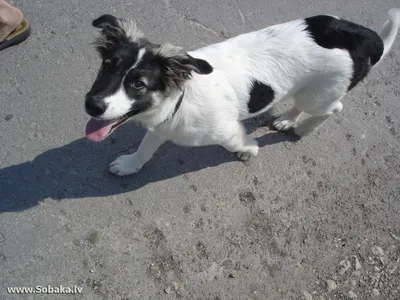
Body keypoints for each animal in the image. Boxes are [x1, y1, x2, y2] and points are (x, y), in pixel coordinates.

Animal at [84, 9, 400, 176]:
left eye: (139, 84)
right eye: (107, 67)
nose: (92, 106)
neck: (180, 99)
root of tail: (360, 37)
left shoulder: (224, 131)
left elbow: (239, 142)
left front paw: (249, 150)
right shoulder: (163, 124)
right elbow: (146, 148)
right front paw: (130, 164)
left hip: (318, 95)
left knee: (334, 108)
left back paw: (303, 127)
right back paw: (287, 119)